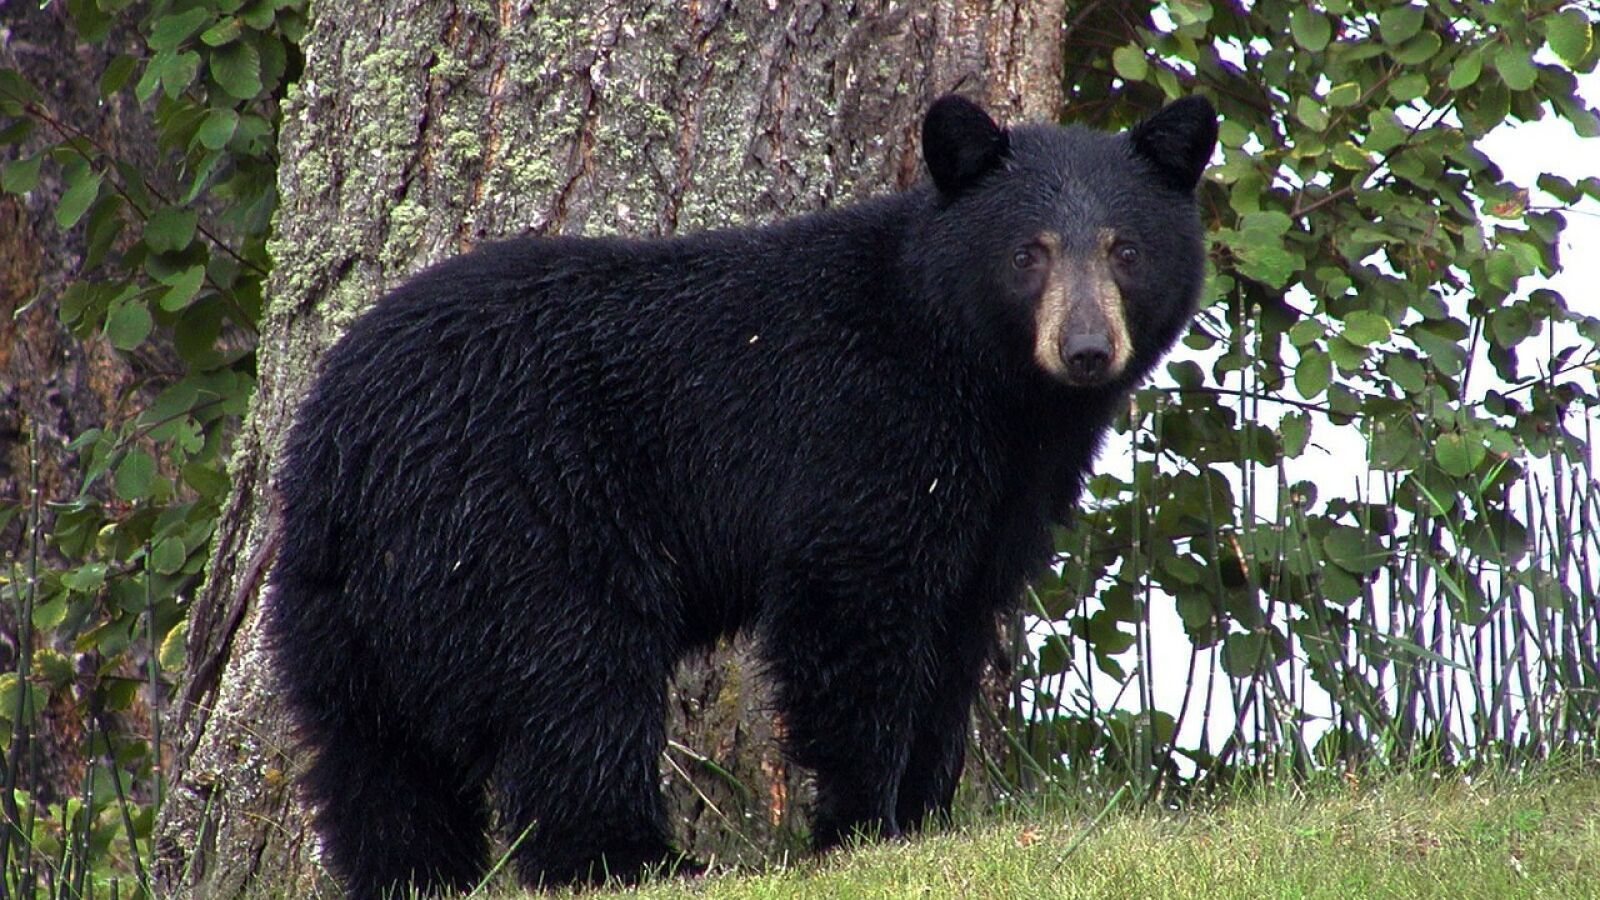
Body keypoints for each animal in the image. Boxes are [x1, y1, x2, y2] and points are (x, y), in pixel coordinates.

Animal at [265, 92, 1216, 899]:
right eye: (1029, 253)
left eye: (1126, 250)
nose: (1087, 349)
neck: (982, 382)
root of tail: (341, 447)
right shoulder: (866, 433)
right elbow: (852, 609)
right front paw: (861, 828)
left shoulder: (1001, 497)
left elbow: (956, 631)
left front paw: (928, 817)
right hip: (519, 520)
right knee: (575, 683)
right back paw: (638, 859)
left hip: (341, 606)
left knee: (375, 760)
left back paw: (415, 874)